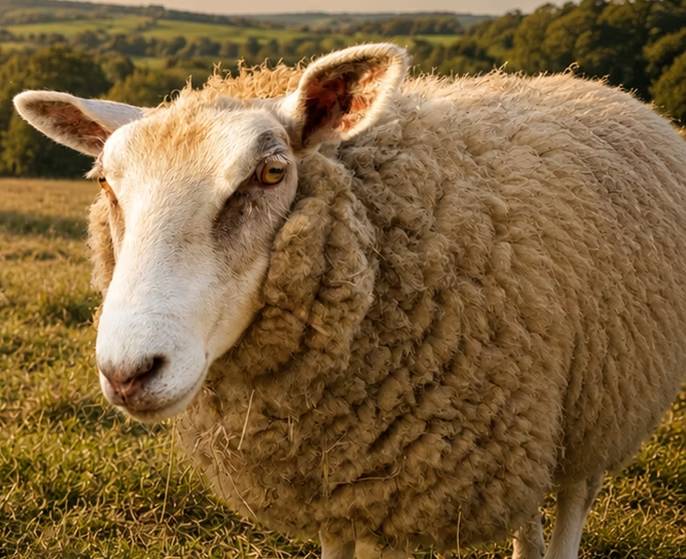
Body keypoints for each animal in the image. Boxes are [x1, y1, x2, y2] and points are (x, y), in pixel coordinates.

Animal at [13, 43, 686, 559]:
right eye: (105, 181)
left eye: (271, 173)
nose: (129, 372)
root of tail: (597, 85)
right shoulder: (333, 485)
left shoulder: (405, 487)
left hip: (605, 398)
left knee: (573, 495)